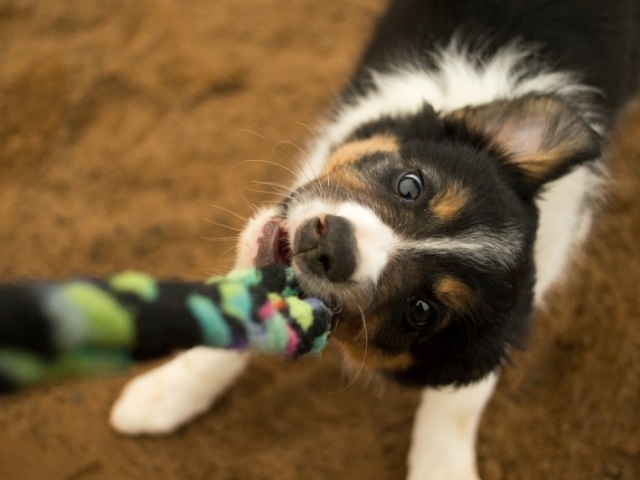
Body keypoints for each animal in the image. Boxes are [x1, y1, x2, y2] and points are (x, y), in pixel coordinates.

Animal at [111, 1, 640, 478]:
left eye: (420, 311)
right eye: (410, 185)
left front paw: (443, 469)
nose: (329, 246)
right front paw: (167, 394)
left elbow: (459, 404)